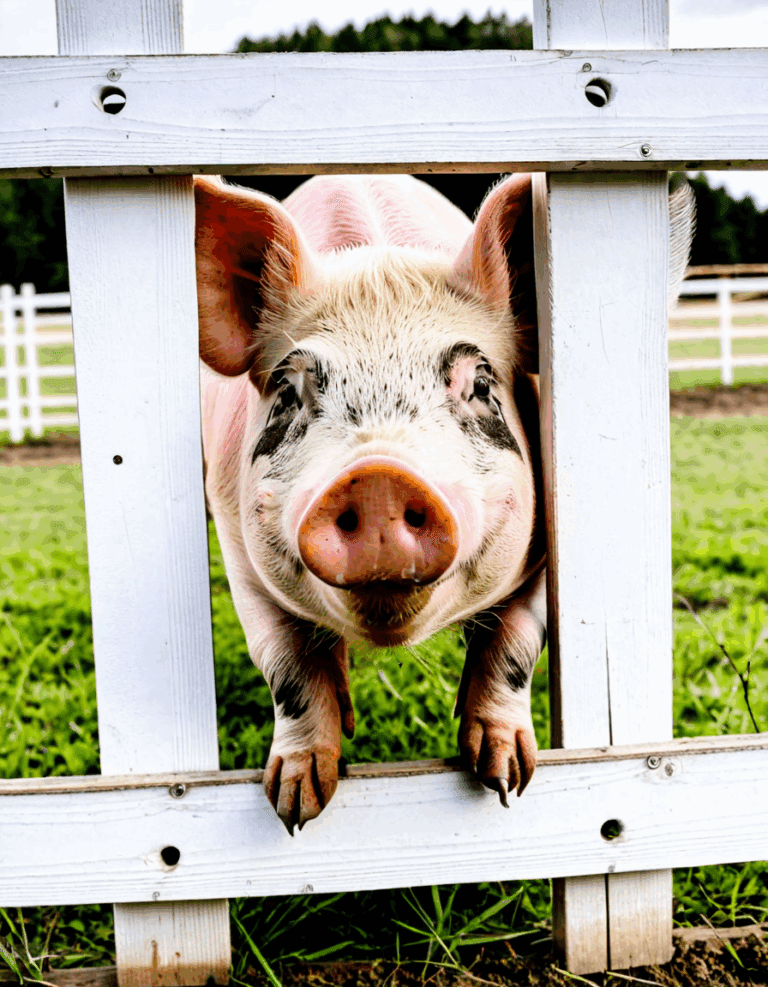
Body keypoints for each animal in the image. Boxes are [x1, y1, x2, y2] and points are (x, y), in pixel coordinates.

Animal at [195, 172, 693, 834]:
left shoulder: (545, 549)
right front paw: (296, 806)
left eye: (479, 385)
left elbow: (516, 641)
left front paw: (505, 778)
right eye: (288, 393)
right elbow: (288, 665)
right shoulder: (235, 540)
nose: (378, 477)